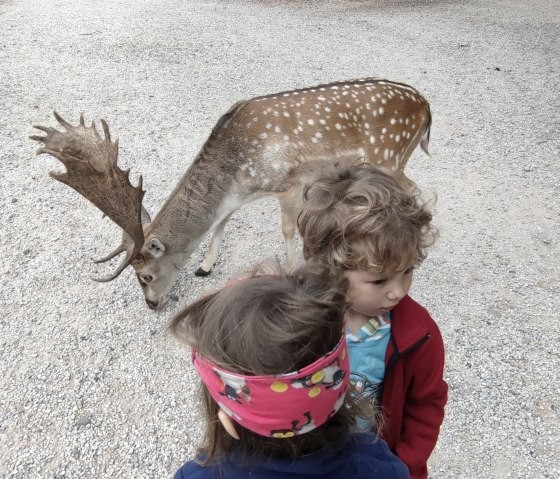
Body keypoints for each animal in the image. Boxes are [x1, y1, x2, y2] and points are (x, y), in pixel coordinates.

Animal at [30, 78, 430, 312]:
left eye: (145, 277)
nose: (151, 306)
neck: (238, 173)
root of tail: (426, 106)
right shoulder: (238, 198)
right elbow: (221, 222)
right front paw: (205, 266)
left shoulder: (289, 183)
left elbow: (288, 230)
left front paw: (292, 269)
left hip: (389, 153)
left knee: (412, 188)